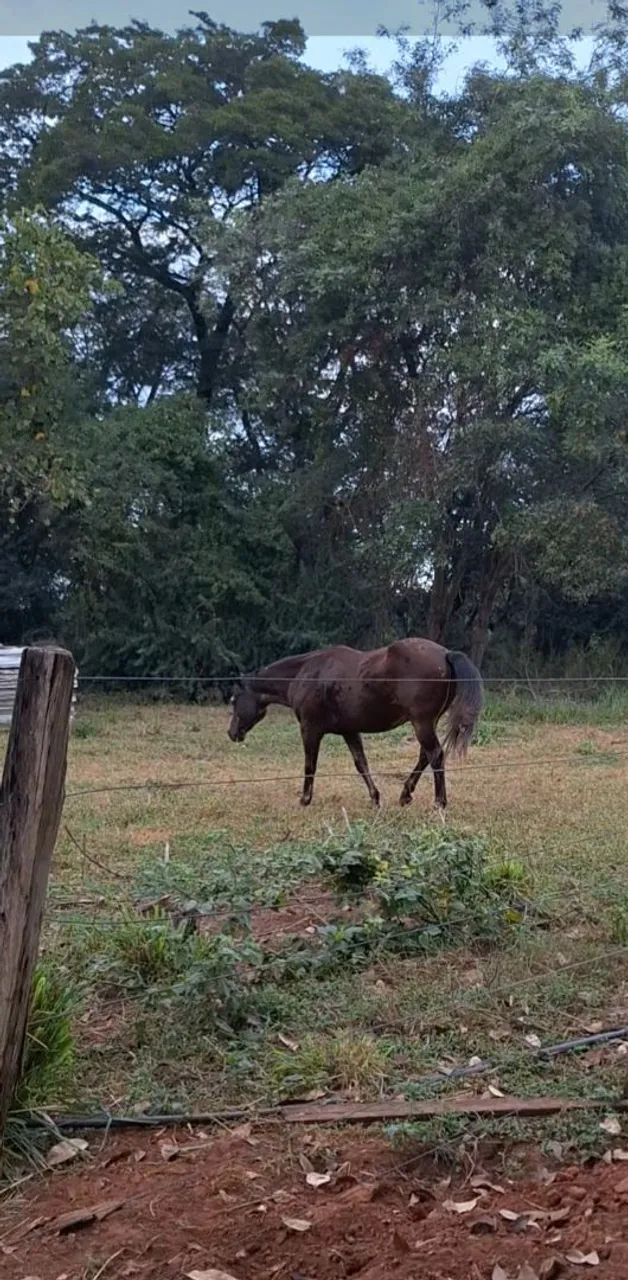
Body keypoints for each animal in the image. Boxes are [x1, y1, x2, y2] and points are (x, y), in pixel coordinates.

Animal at [227, 637, 483, 808]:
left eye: (234, 699)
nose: (232, 733)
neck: (307, 673)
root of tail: (446, 653)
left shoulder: (310, 729)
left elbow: (310, 765)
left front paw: (305, 799)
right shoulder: (350, 731)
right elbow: (361, 764)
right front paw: (375, 798)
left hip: (422, 722)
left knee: (435, 755)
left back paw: (439, 802)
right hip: (427, 722)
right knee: (425, 756)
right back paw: (405, 794)